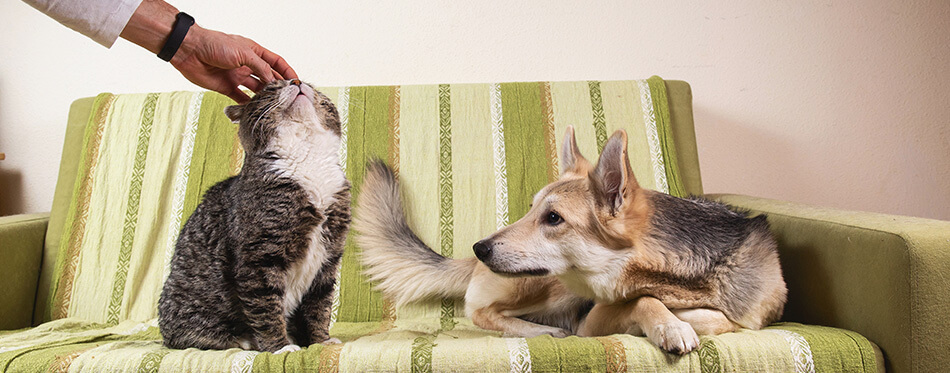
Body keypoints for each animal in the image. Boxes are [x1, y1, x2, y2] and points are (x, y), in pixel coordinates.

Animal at [158, 78, 352, 352]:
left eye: (311, 84)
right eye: (271, 88)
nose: (296, 81)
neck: (307, 160)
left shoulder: (329, 256)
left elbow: (319, 306)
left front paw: (320, 341)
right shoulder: (259, 257)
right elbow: (266, 307)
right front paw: (280, 346)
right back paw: (242, 340)